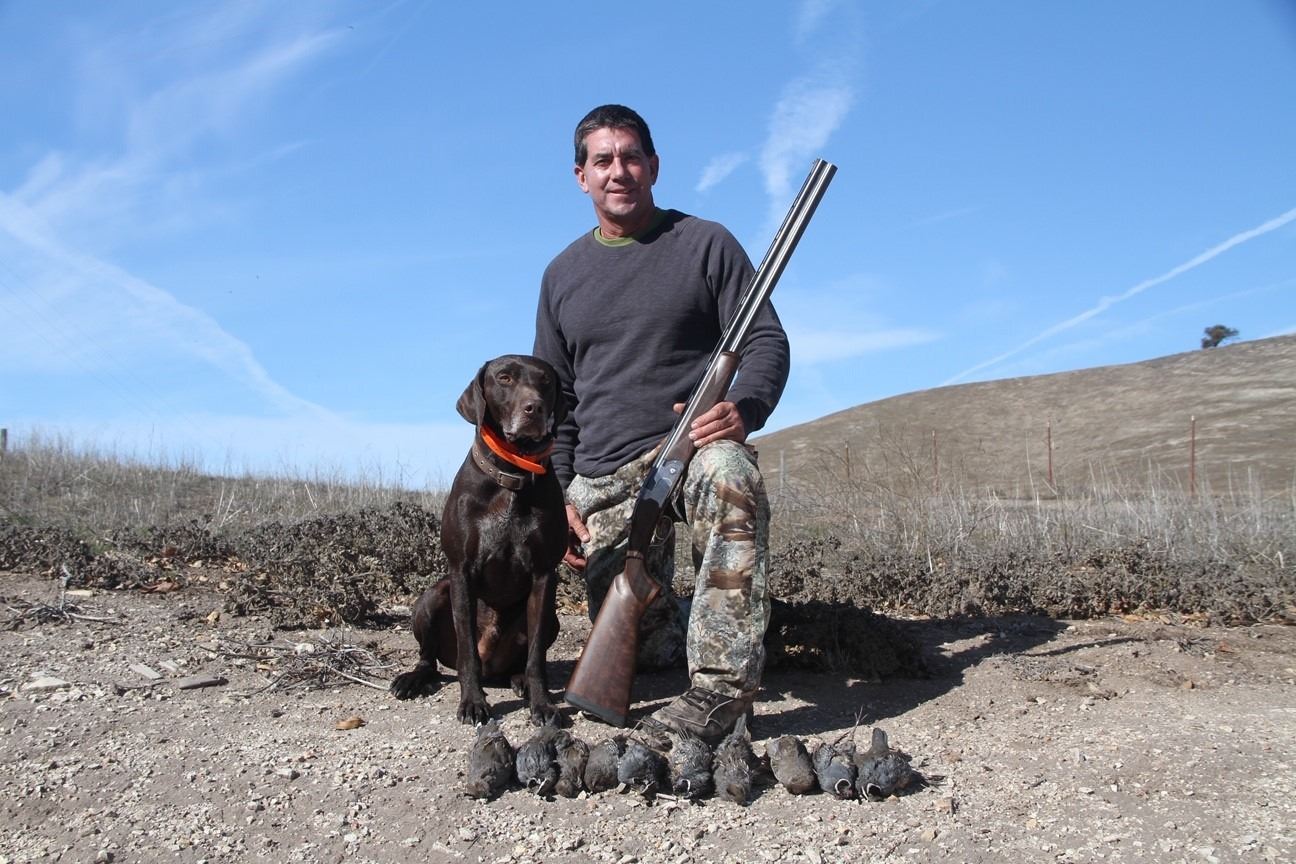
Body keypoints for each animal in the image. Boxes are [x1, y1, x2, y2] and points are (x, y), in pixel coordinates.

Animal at [390, 354, 568, 725]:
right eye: (504, 378)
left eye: (545, 381)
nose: (534, 408)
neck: (512, 478)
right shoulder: (461, 572)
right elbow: (467, 652)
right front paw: (472, 702)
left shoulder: (544, 575)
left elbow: (536, 657)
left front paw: (543, 703)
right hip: (432, 597)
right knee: (431, 658)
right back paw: (414, 678)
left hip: (552, 621)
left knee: (522, 660)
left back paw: (519, 680)